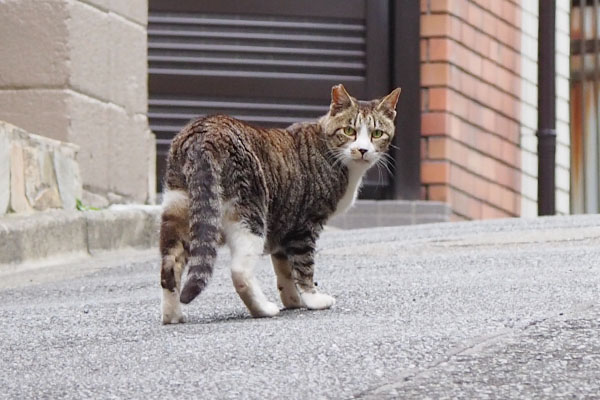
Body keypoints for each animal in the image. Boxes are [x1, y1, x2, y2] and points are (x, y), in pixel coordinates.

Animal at [162, 85, 400, 324]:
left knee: (170, 266)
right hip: (250, 212)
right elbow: (304, 267)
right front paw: (313, 299)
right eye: (349, 131)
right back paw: (264, 309)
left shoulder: (284, 223)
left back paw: (173, 317)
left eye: (377, 133)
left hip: (179, 208)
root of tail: (203, 134)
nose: (363, 150)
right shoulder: (306, 225)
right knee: (240, 271)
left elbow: (285, 269)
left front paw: (293, 300)